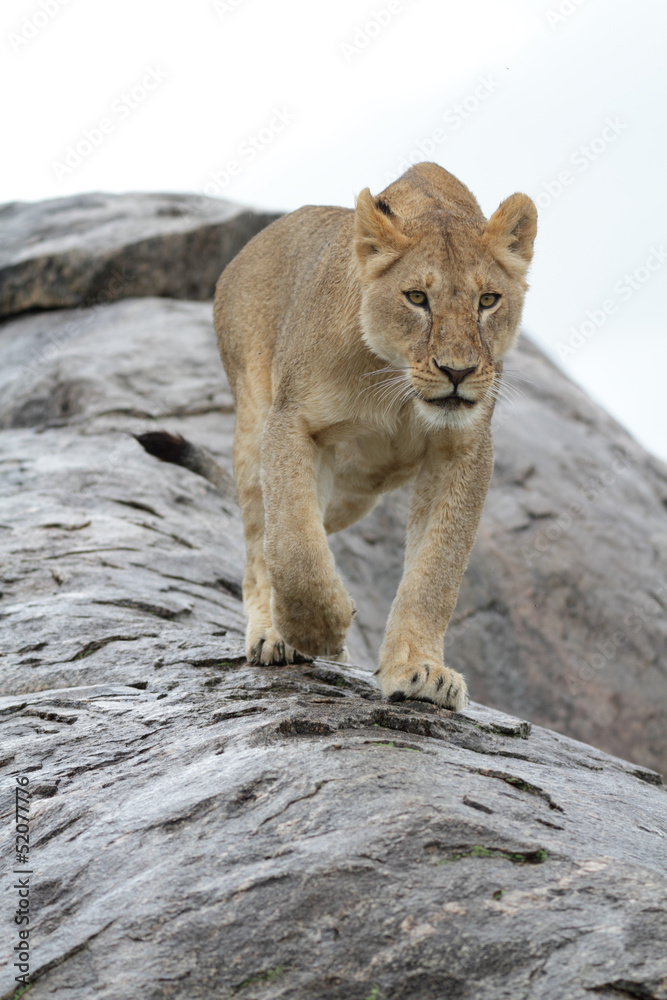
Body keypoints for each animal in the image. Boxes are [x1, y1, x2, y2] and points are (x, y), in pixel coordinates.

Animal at [206, 162, 536, 709]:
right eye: (417, 297)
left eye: (488, 300)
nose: (458, 372)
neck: (395, 387)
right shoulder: (291, 422)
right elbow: (295, 548)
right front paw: (320, 632)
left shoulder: (463, 449)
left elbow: (435, 570)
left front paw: (419, 671)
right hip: (252, 427)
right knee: (261, 541)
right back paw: (272, 635)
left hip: (358, 491)